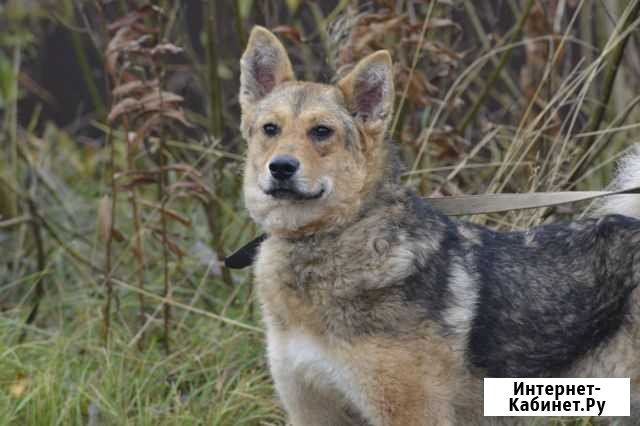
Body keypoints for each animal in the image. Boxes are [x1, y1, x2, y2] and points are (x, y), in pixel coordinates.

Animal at [238, 26, 640, 426]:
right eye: (270, 129)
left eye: (322, 132)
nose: (281, 167)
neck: (333, 237)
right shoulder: (312, 409)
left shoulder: (411, 414)